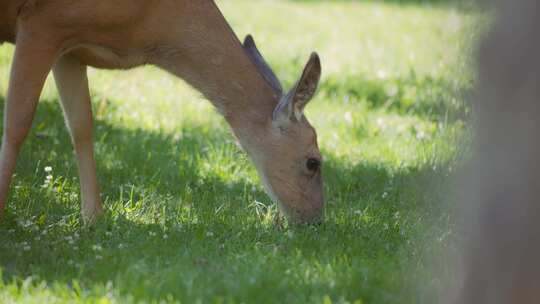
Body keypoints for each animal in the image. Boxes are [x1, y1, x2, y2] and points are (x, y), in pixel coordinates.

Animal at [0, 0, 324, 226]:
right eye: (313, 162)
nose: (316, 221)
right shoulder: (42, 21)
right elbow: (17, 122)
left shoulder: (71, 47)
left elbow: (81, 125)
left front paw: (93, 217)